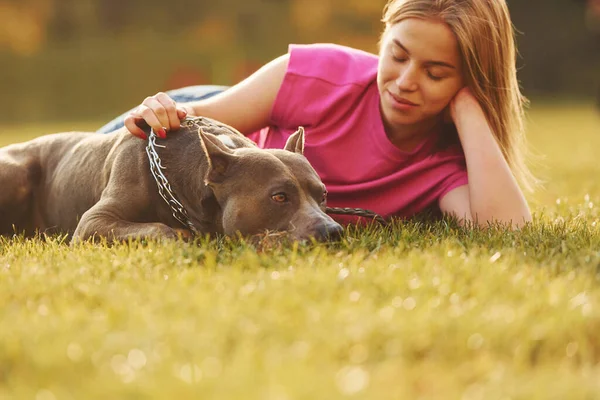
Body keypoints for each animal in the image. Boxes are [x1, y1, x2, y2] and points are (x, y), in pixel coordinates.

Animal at [0, 118, 342, 244]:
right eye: (279, 196)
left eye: (323, 195)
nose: (333, 231)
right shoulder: (93, 222)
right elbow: (162, 229)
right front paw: (182, 237)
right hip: (14, 174)